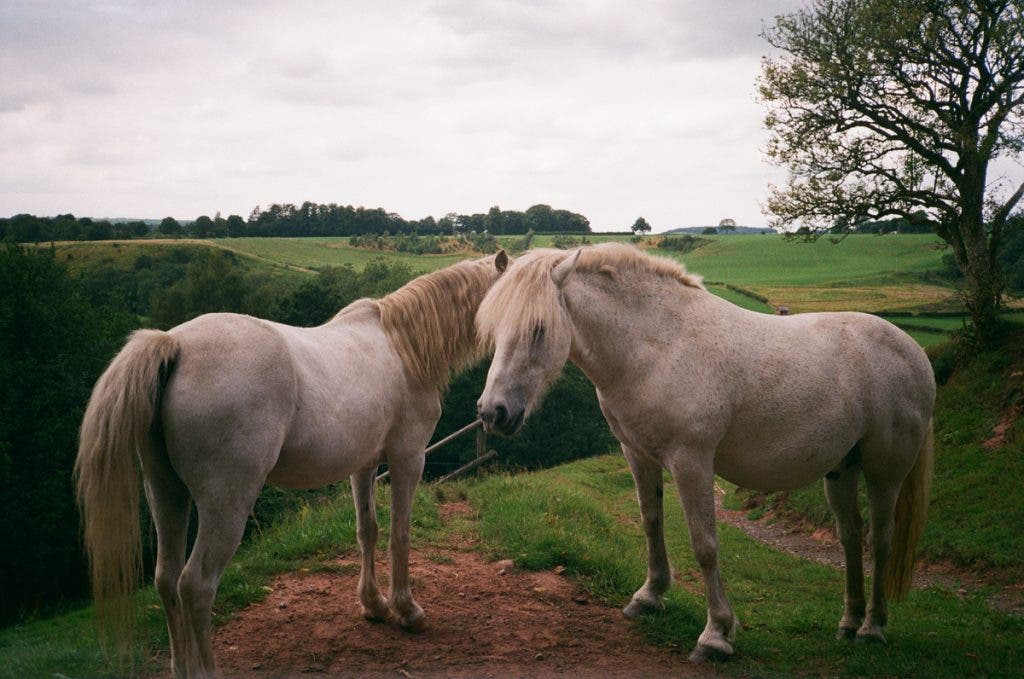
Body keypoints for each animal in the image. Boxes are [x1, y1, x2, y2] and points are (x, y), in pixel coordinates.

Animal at [75, 250, 509, 678]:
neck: (404, 347)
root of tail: (175, 345)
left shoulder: (364, 466)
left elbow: (367, 529)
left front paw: (374, 605)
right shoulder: (408, 459)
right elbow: (399, 534)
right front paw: (407, 611)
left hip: (165, 493)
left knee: (166, 580)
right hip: (226, 505)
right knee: (195, 586)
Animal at [475, 243, 934, 662]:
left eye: (538, 329)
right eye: (495, 329)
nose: (493, 412)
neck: (657, 346)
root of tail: (915, 352)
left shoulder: (692, 461)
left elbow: (705, 544)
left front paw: (715, 635)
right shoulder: (637, 453)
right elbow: (651, 522)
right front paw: (649, 597)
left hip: (884, 471)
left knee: (880, 539)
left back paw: (872, 628)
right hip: (842, 468)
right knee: (850, 535)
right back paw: (849, 622)